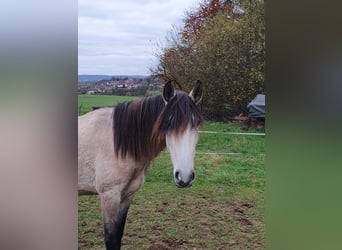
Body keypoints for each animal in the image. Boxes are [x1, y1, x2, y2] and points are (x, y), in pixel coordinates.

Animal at [78, 79, 203, 248]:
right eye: (168, 122)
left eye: (196, 123)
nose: (185, 177)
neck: (118, 145)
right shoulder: (109, 196)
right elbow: (111, 238)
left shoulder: (127, 195)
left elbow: (118, 235)